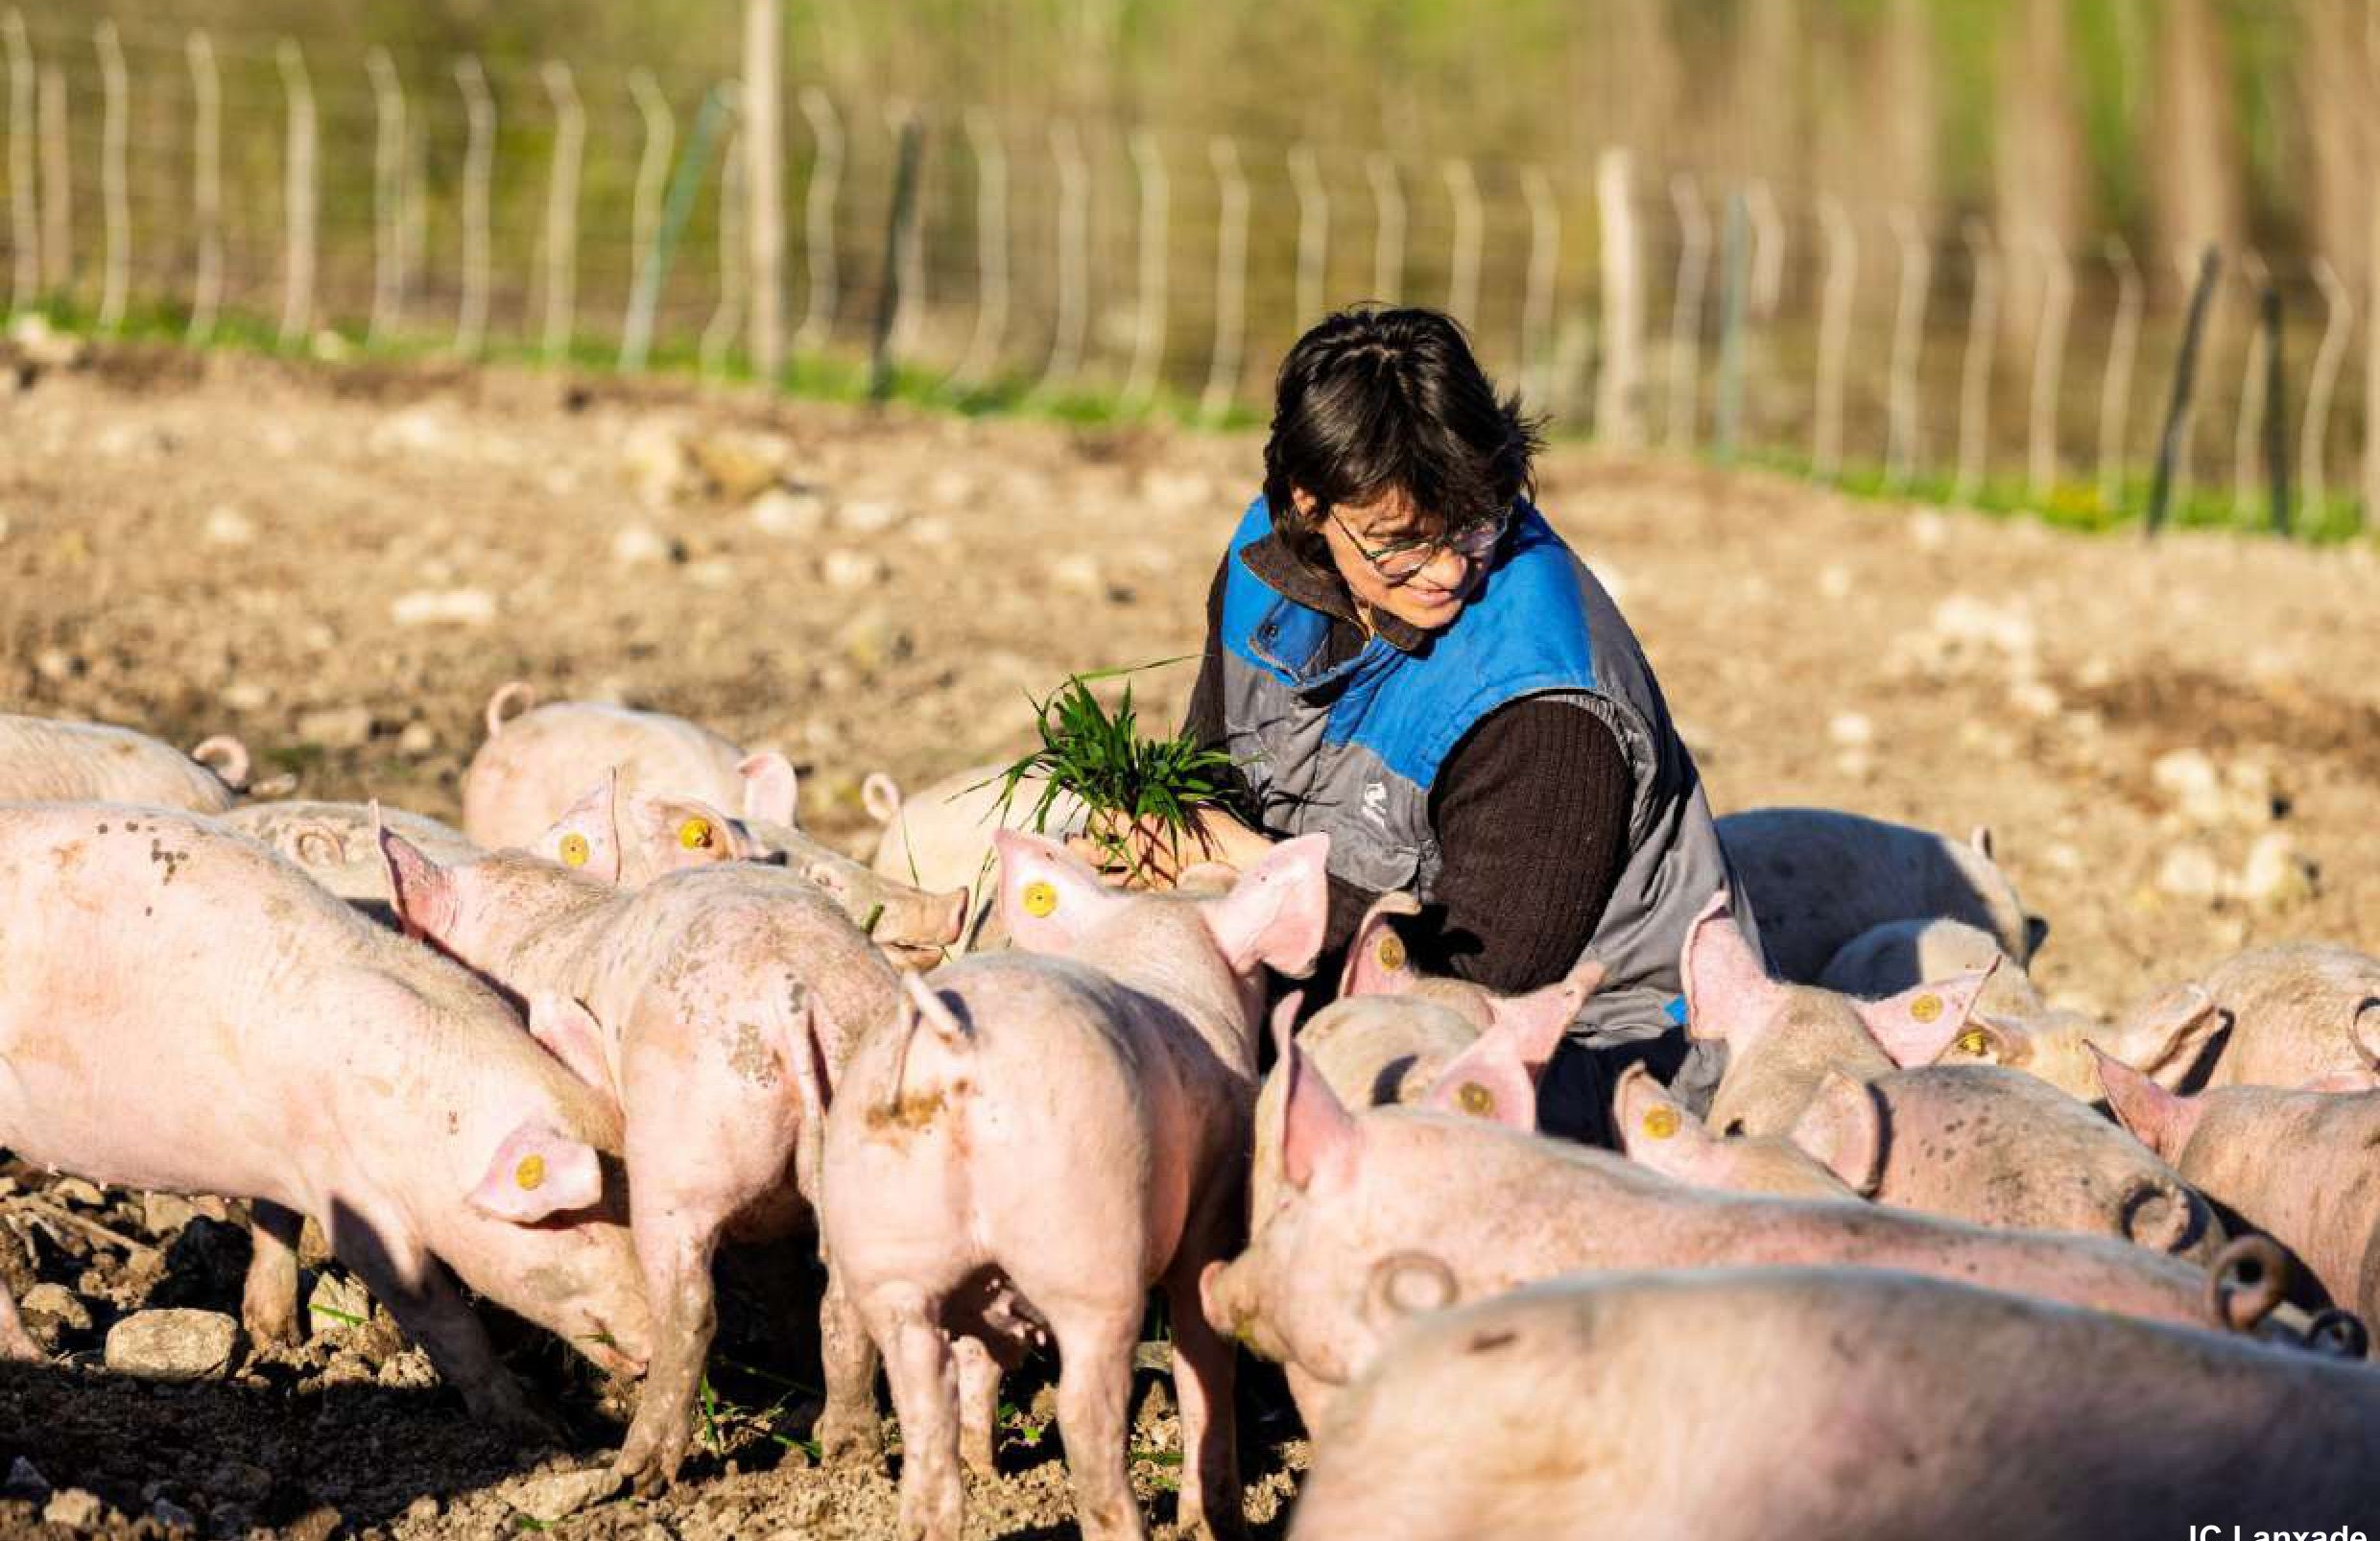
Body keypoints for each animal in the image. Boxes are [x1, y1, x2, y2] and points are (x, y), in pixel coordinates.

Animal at [0, 805, 649, 1435]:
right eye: (574, 1226)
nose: (650, 1343)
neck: (431, 1128)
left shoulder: (290, 1162)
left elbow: (276, 1226)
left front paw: (276, 1340)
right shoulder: (356, 1199)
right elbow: (442, 1316)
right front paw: (540, 1430)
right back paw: (38, 1358)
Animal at [376, 815, 898, 1491]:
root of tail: (796, 993)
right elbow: (778, 1273)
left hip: (683, 1149)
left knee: (690, 1306)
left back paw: (632, 1473)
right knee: (844, 1292)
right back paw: (844, 1449)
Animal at [813, 831, 1331, 1541]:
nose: (1209, 865)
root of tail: (953, 1045)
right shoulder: (1214, 1207)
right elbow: (1203, 1360)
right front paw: (1213, 1524)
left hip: (883, 1238)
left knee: (925, 1400)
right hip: (1088, 1239)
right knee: (1084, 1415)